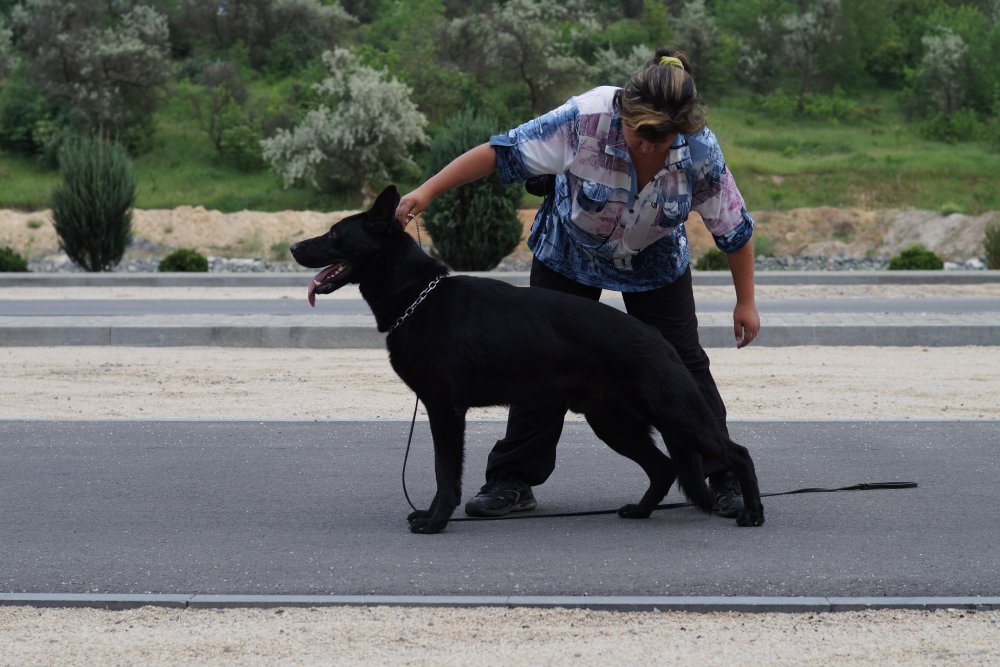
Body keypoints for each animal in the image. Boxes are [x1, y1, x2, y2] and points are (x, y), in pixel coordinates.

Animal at [292, 185, 764, 536]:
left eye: (333, 235)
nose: (295, 247)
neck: (416, 296)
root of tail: (657, 338)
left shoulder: (445, 411)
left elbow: (445, 472)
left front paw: (436, 519)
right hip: (615, 423)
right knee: (664, 467)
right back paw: (642, 511)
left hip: (674, 415)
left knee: (737, 453)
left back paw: (752, 512)